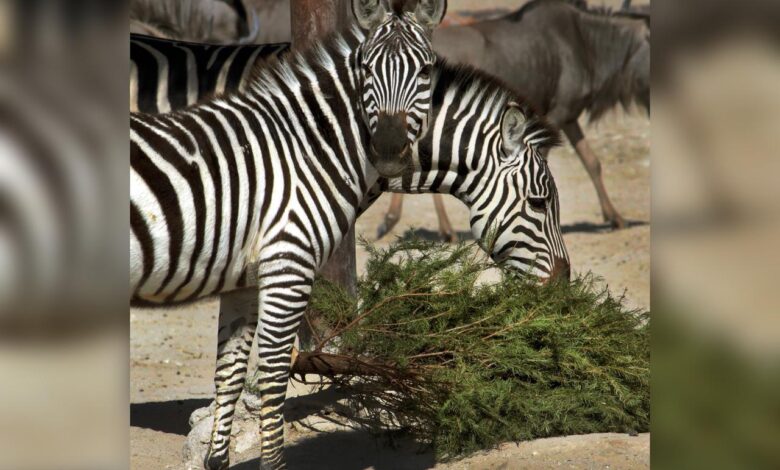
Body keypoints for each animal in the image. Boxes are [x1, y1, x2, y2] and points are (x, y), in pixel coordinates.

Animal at [132, 1, 448, 468]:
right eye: (366, 68)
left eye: (425, 70)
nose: (388, 149)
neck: (304, 150)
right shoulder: (288, 265)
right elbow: (273, 374)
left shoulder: (243, 278)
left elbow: (229, 373)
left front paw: (216, 459)